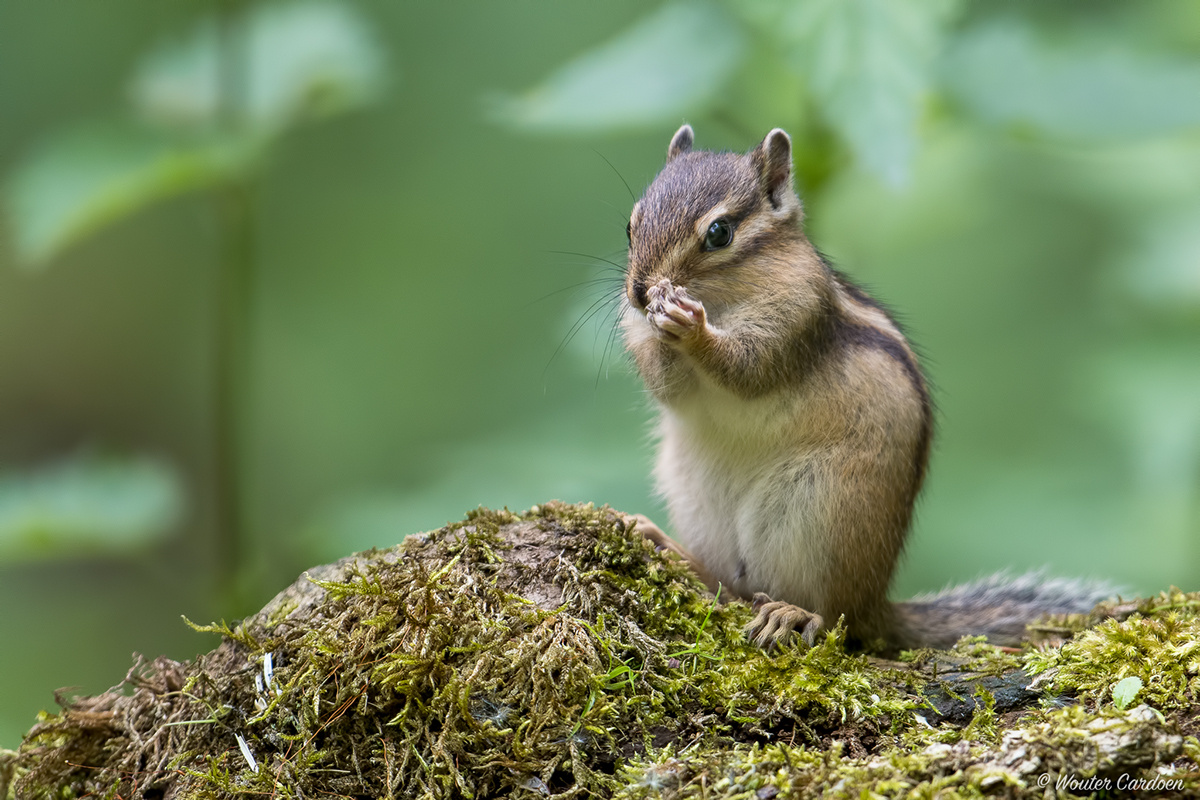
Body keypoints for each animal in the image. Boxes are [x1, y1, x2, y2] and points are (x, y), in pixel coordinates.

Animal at [619, 124, 1113, 652]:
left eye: (719, 233)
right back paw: (667, 545)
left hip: (821, 510)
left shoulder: (798, 315)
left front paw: (691, 328)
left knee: (836, 616)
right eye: (631, 225)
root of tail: (877, 602)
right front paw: (662, 329)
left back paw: (793, 613)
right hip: (697, 498)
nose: (640, 292)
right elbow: (668, 387)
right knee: (729, 584)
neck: (723, 300)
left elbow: (751, 368)